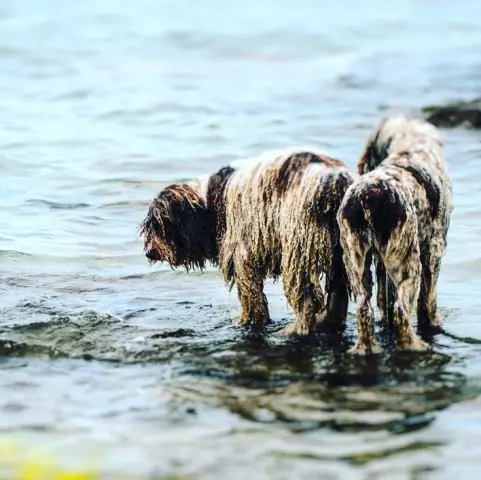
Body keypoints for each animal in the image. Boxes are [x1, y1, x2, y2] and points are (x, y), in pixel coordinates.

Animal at [139, 148, 352, 336]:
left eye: (160, 226)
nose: (149, 252)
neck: (209, 201)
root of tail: (333, 184)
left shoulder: (241, 254)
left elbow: (251, 296)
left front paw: (249, 322)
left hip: (298, 250)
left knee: (307, 301)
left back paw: (296, 330)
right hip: (342, 253)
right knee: (337, 298)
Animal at [336, 116, 452, 354]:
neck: (410, 147)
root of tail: (369, 195)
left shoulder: (381, 262)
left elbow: (384, 299)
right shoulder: (433, 252)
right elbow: (427, 302)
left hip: (355, 262)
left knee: (364, 310)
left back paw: (368, 349)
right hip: (409, 264)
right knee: (401, 310)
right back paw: (414, 345)